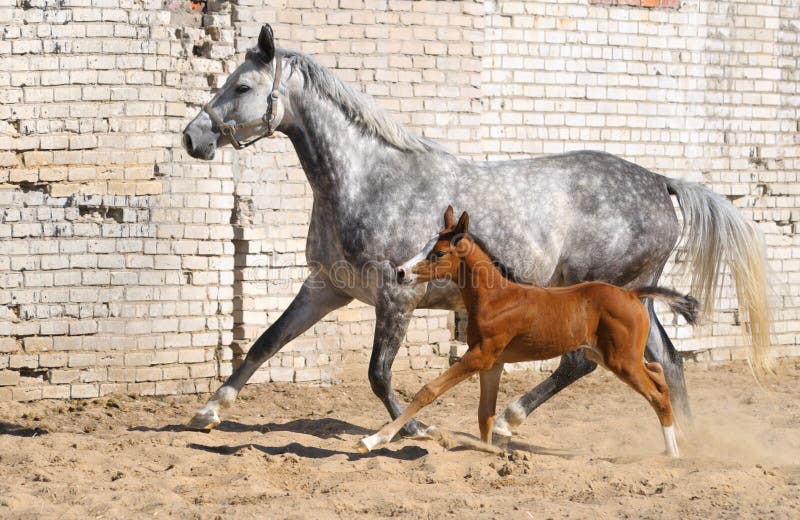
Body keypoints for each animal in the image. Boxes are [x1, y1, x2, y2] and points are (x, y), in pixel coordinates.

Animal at [360, 207, 696, 460]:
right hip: (608, 355)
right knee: (658, 374)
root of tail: (632, 294)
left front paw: (373, 440)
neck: (496, 298)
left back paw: (673, 451)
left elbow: (428, 390)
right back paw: (679, 440)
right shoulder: (493, 364)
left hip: (621, 360)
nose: (401, 272)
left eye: (439, 252)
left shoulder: (480, 357)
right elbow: (484, 414)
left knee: (656, 393)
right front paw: (488, 451)